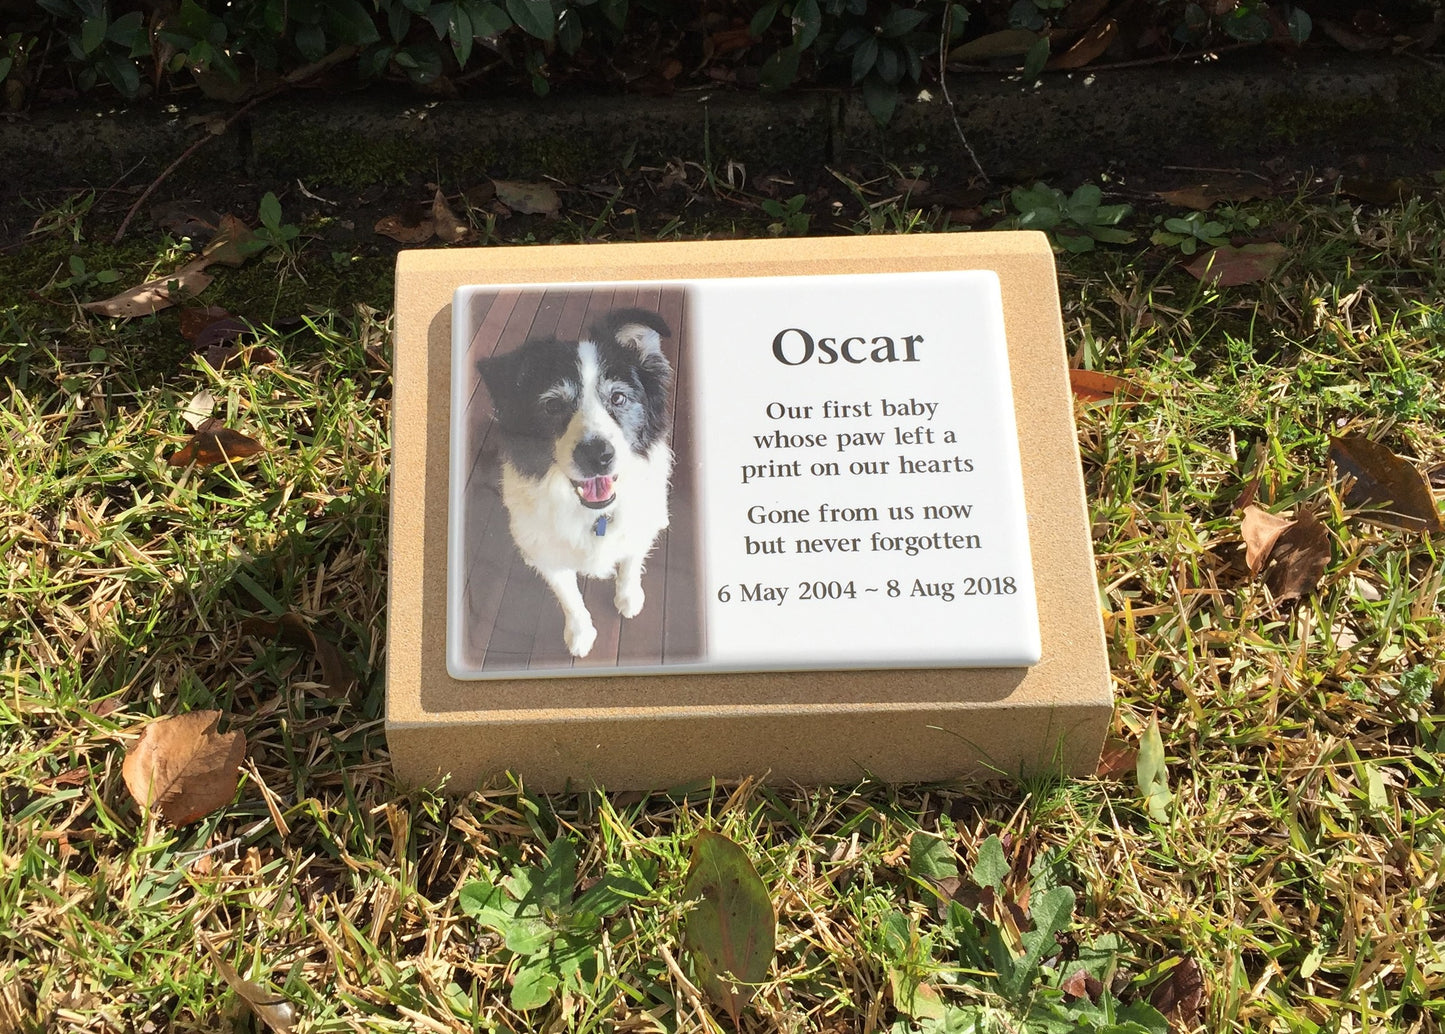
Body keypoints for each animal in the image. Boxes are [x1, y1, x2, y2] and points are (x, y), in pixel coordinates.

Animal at [479, 307, 670, 658]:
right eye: (553, 405)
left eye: (618, 397)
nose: (598, 456)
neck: (595, 516)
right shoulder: (548, 556)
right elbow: (570, 599)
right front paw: (580, 635)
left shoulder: (638, 529)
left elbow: (631, 563)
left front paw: (628, 598)